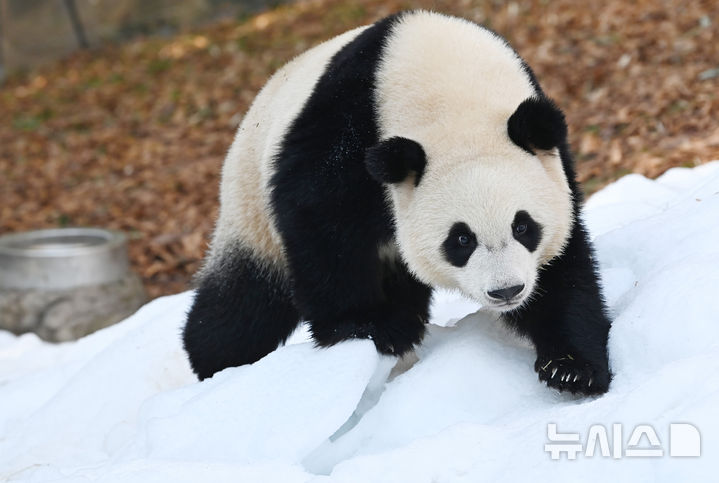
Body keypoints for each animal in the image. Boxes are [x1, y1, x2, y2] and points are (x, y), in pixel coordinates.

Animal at [181, 11, 612, 396]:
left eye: (523, 226)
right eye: (461, 239)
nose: (506, 291)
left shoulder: (551, 160)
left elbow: (564, 263)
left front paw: (572, 368)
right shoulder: (346, 130)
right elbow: (320, 221)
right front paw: (362, 326)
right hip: (250, 204)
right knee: (244, 304)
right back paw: (217, 364)